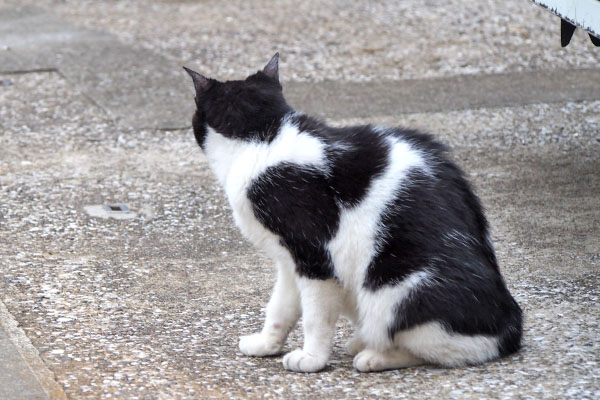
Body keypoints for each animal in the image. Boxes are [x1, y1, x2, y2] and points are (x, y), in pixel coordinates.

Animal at [183, 52, 520, 372]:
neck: (265, 136)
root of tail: (511, 327)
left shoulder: (315, 257)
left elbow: (315, 317)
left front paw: (312, 358)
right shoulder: (290, 262)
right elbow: (280, 306)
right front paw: (267, 343)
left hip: (392, 286)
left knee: (440, 349)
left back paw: (376, 356)